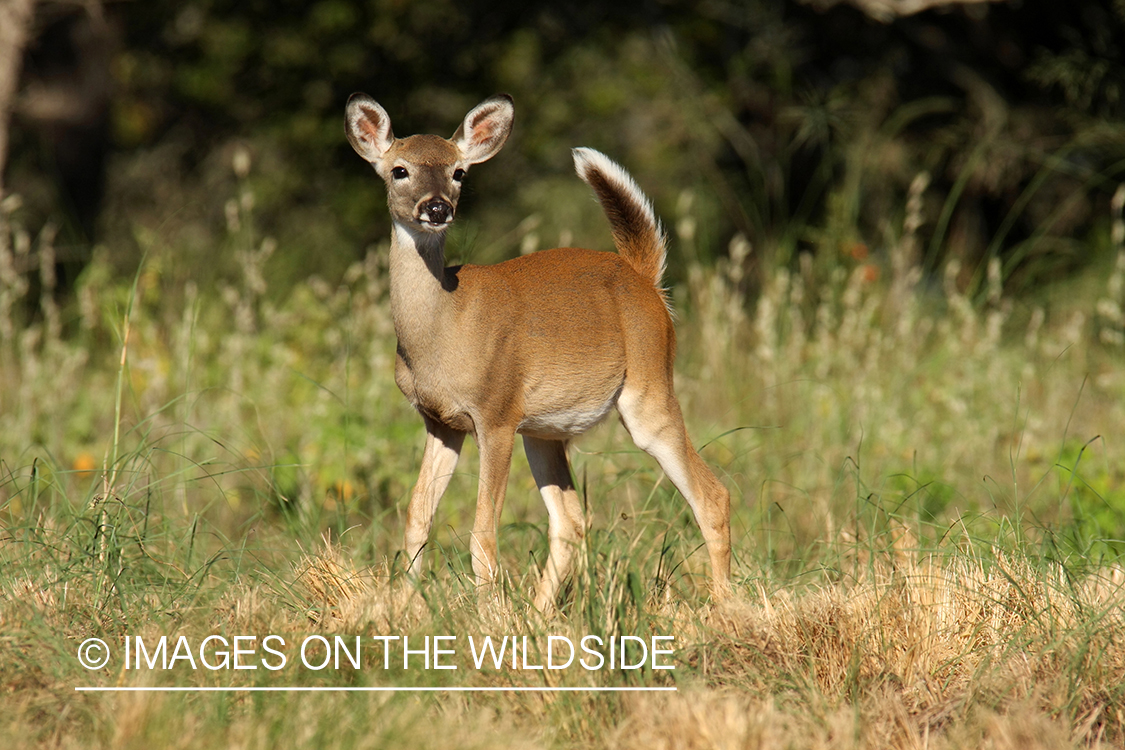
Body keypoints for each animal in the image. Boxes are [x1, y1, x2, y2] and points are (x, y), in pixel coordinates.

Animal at [342, 92, 729, 611]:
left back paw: (727, 609)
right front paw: (405, 609)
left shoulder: (496, 412)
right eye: (399, 169)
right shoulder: (441, 421)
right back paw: (542, 616)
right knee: (570, 522)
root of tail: (644, 278)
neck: (444, 330)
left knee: (712, 496)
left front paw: (488, 616)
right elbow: (417, 517)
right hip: (544, 430)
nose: (437, 207)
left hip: (648, 391)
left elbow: (482, 532)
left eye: (459, 172)